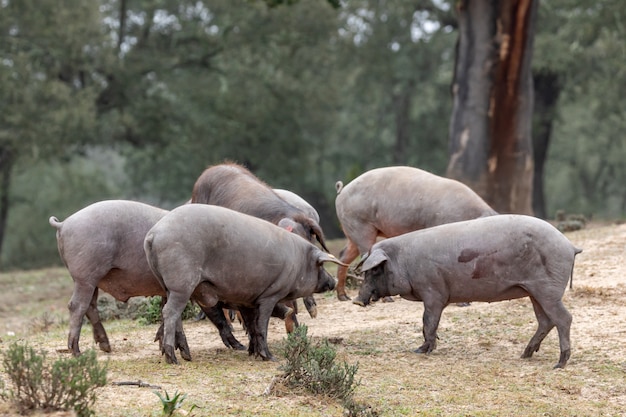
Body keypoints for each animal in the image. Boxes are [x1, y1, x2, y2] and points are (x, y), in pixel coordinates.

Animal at [143, 203, 342, 362]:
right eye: (319, 265)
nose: (333, 280)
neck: (297, 261)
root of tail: (153, 235)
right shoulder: (270, 294)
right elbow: (261, 325)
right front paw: (270, 358)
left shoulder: (246, 300)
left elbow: (252, 325)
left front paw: (251, 352)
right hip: (181, 284)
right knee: (170, 312)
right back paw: (173, 359)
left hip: (167, 285)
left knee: (171, 314)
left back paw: (186, 356)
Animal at [352, 214, 580, 368]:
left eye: (374, 270)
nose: (356, 300)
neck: (404, 262)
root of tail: (570, 245)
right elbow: (429, 323)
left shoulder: (433, 291)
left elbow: (428, 321)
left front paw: (419, 350)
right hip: (534, 291)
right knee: (545, 321)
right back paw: (525, 355)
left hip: (547, 290)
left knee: (563, 318)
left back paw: (559, 364)